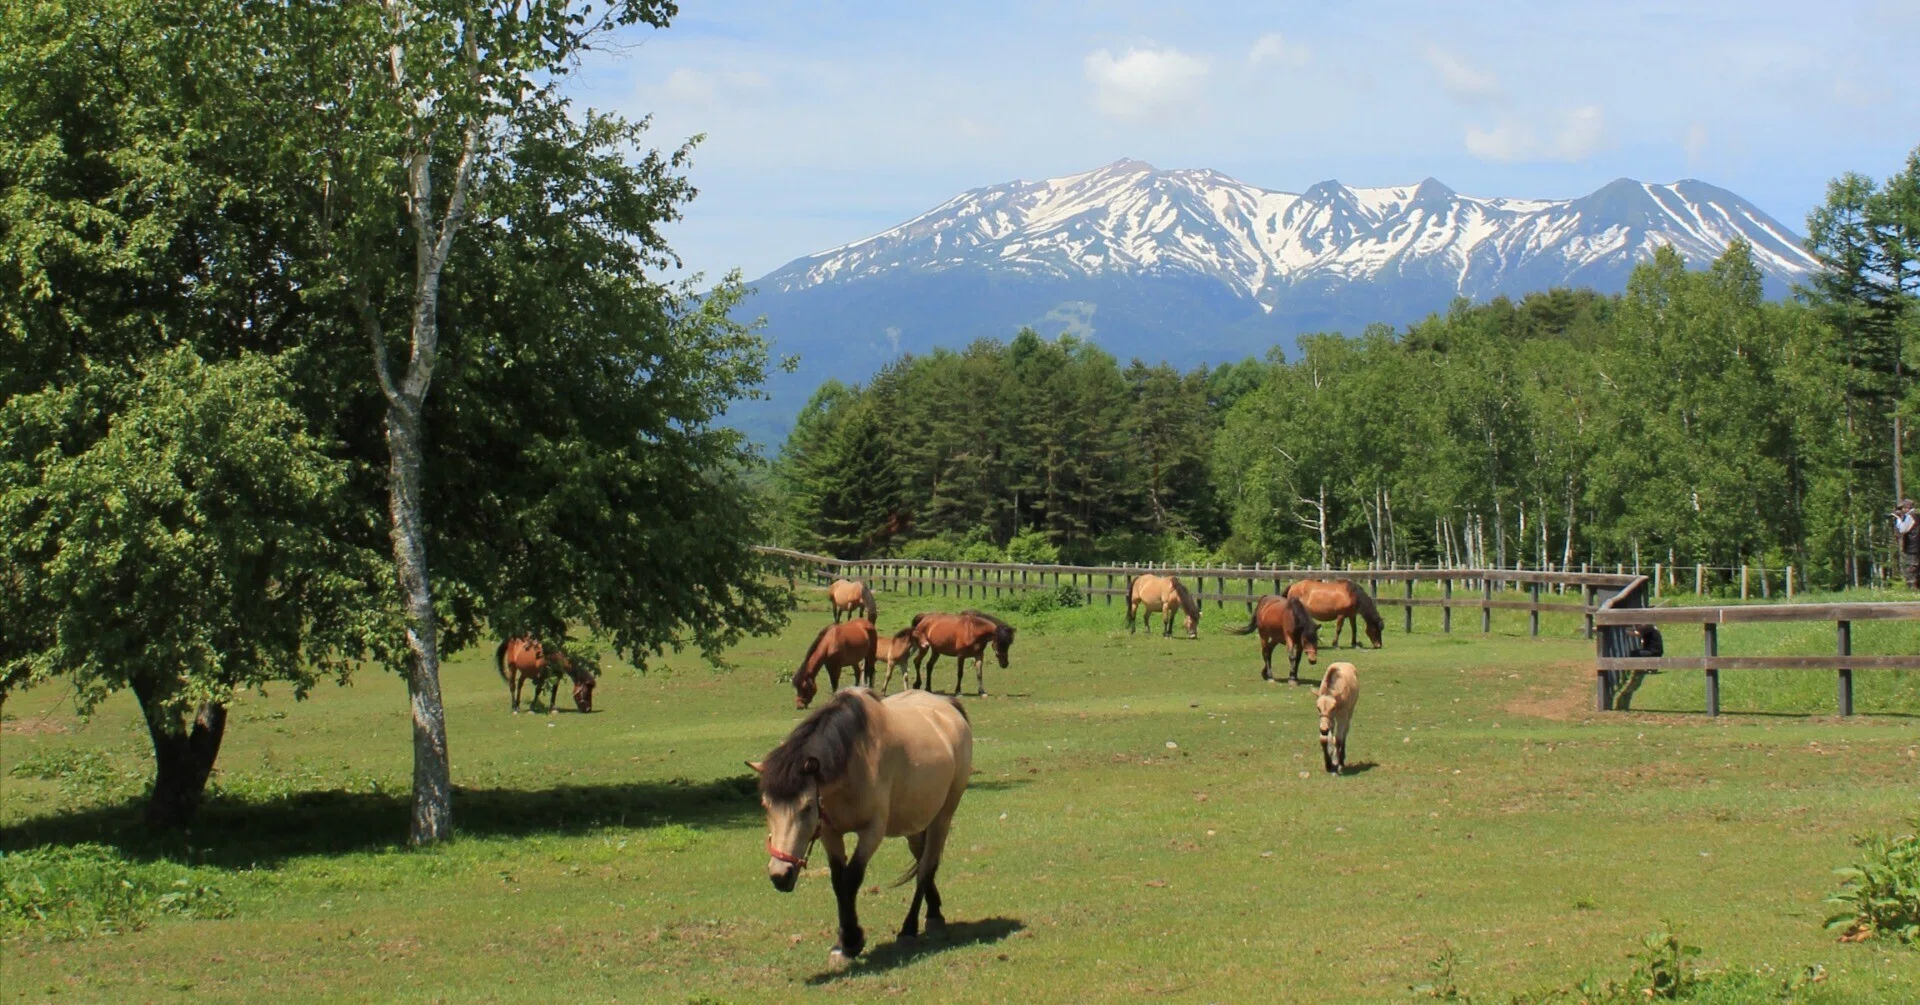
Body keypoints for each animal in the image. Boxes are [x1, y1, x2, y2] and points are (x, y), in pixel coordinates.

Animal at [750, 688, 972, 965]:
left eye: (807, 807)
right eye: (765, 805)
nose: (780, 875)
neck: (854, 761)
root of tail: (948, 706)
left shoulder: (872, 832)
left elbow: (852, 878)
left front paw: (852, 941)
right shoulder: (830, 833)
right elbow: (838, 880)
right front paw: (842, 944)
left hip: (943, 817)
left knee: (926, 867)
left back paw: (909, 928)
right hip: (915, 823)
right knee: (922, 859)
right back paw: (935, 912)